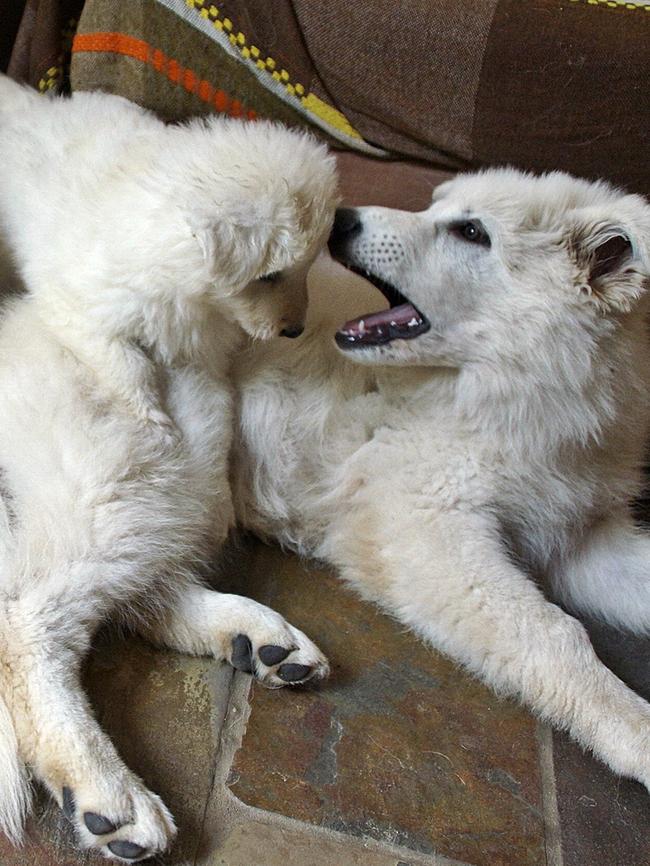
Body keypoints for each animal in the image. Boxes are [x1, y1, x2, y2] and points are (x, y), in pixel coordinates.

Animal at [0, 77, 334, 860]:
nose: (295, 329)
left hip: (157, 507)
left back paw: (263, 641)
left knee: (144, 599)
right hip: (115, 499)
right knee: (29, 623)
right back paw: (110, 797)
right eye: (273, 273)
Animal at [233, 169, 648, 796]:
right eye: (436, 206)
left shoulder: (577, 534)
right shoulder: (426, 525)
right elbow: (557, 634)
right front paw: (636, 732)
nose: (341, 219)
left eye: (471, 232)